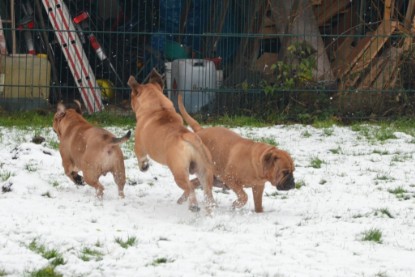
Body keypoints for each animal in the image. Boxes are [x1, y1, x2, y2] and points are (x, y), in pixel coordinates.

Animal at [127, 69, 216, 211]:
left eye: (131, 96)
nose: (130, 102)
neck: (159, 107)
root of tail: (189, 136)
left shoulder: (139, 147)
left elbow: (141, 158)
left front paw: (144, 167)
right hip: (204, 171)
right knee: (207, 192)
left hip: (179, 172)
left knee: (190, 187)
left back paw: (193, 205)